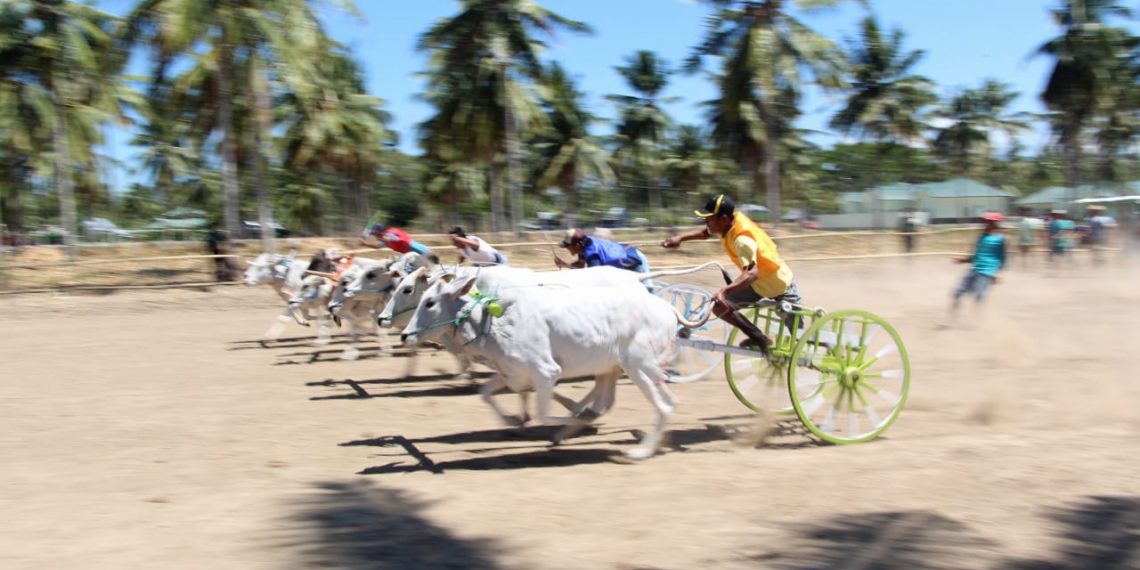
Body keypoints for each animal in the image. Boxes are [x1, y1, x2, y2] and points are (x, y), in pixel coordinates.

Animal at [399, 271, 702, 458]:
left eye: (429, 302)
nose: (404, 335)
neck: (494, 322)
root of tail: (667, 308)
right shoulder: (511, 374)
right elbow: (484, 393)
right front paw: (513, 420)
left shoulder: (546, 373)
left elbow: (545, 414)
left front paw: (572, 420)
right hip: (612, 368)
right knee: (608, 402)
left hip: (638, 365)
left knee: (666, 404)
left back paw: (640, 451)